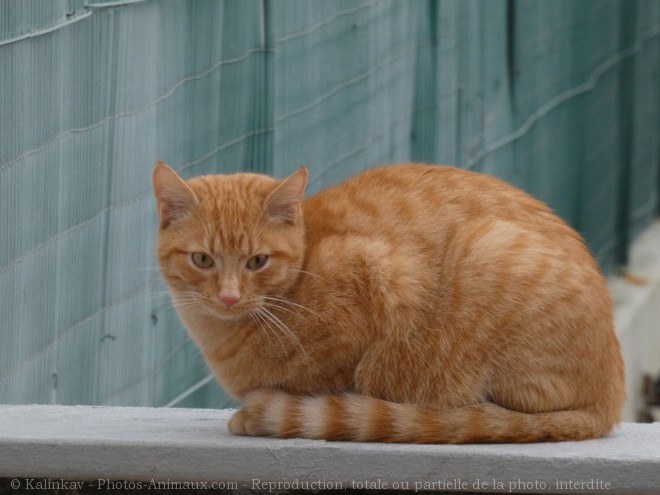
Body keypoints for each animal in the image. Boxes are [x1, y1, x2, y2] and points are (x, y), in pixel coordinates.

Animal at [153, 161, 624, 444]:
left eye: (257, 262)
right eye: (202, 259)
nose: (229, 296)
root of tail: (610, 400)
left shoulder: (379, 276)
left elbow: (330, 387)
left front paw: (266, 414)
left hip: (488, 250)